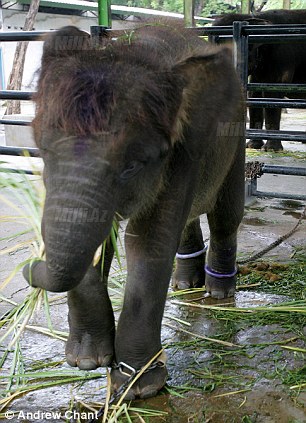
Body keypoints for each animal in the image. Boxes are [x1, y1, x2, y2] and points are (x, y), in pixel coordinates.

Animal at [22, 23, 245, 400]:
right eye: (43, 151)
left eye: (133, 166)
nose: (29, 267)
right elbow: (102, 242)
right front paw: (86, 361)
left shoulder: (186, 147)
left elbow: (148, 242)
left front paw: (139, 387)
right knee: (187, 221)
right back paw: (184, 285)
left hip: (237, 137)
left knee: (226, 215)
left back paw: (217, 293)